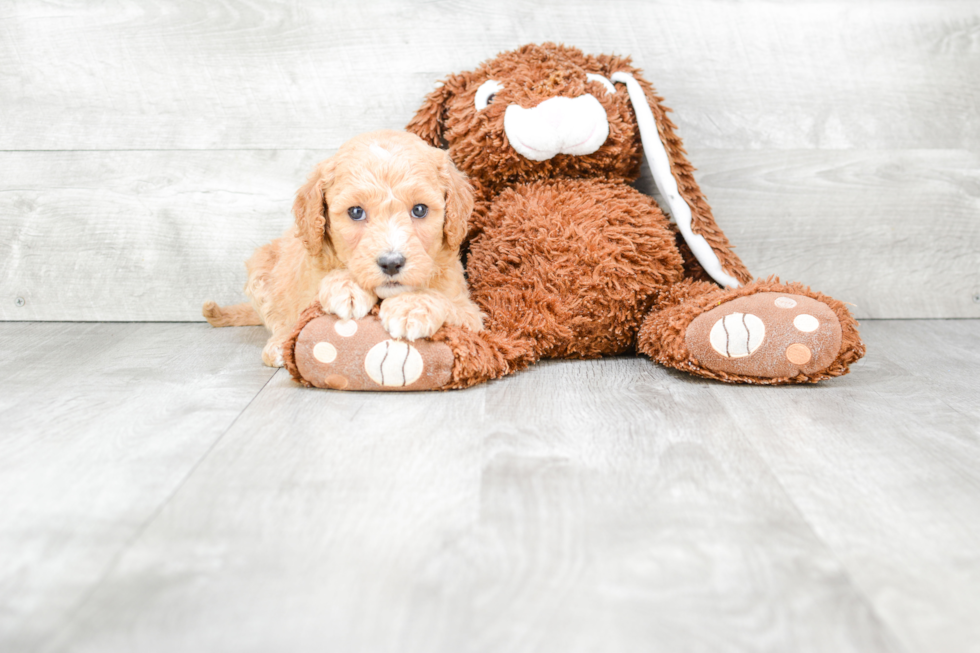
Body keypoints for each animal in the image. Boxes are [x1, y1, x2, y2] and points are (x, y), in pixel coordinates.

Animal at [202, 130, 482, 366]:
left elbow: (450, 303)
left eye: (420, 210)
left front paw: (411, 305)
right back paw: (279, 344)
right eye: (356, 212)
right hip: (260, 269)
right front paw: (347, 287)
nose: (391, 263)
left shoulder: (471, 314)